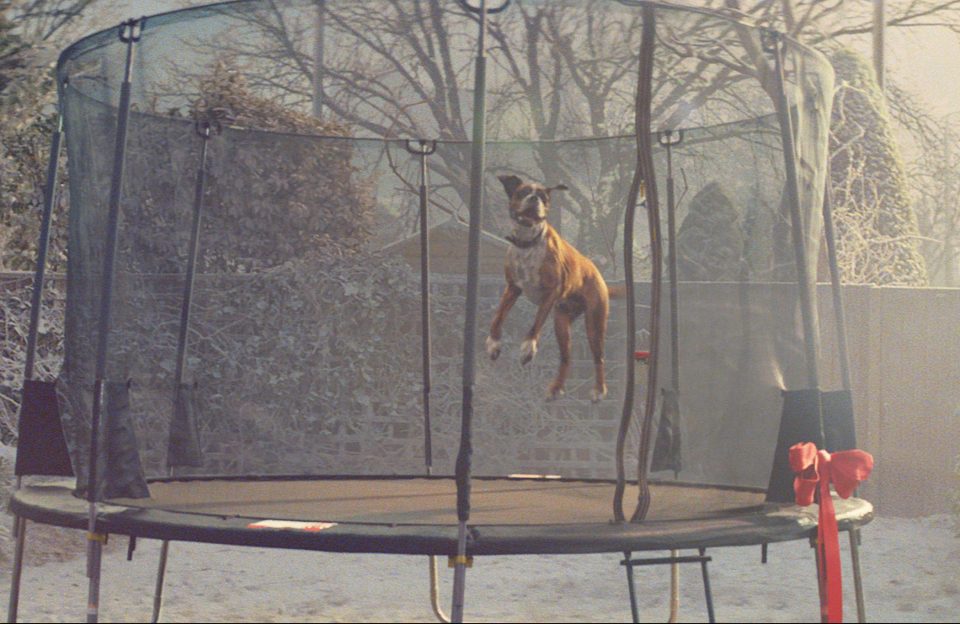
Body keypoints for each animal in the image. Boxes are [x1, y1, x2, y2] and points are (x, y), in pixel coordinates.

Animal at [488, 173, 616, 402]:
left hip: (594, 324)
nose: (533, 199)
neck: (528, 243)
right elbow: (498, 316)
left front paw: (527, 348)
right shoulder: (512, 288)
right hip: (561, 322)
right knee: (566, 358)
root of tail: (597, 272)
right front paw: (493, 344)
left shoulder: (551, 292)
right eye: (522, 192)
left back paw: (599, 391)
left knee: (599, 358)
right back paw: (555, 389)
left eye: (543, 197)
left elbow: (536, 323)